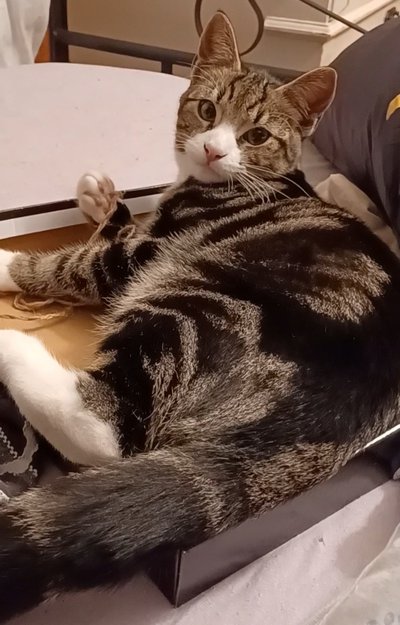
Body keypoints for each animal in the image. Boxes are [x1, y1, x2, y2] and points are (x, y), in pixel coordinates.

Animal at [1, 10, 400, 622]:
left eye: (256, 135)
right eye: (208, 111)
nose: (213, 150)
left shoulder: (140, 256)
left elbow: (77, 262)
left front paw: (9, 261)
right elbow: (114, 224)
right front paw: (99, 196)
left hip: (196, 301)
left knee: (110, 428)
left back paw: (13, 346)